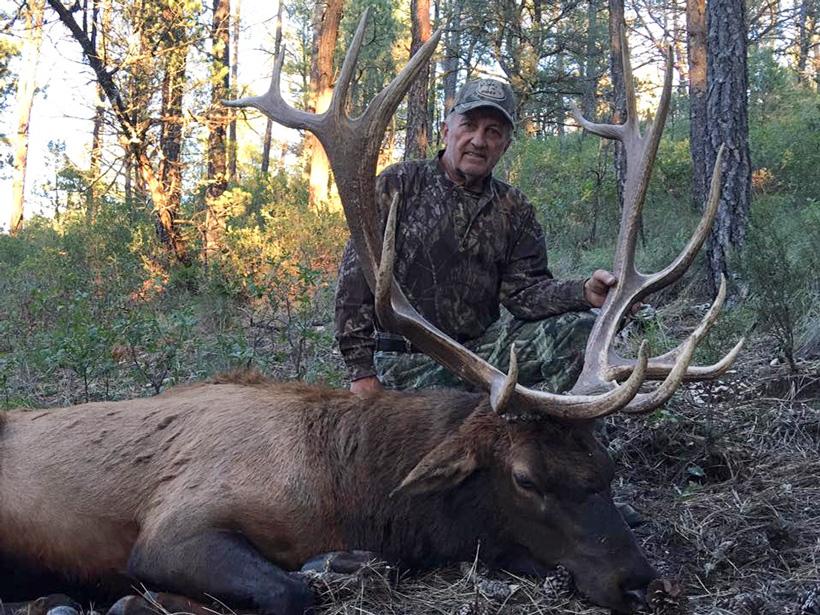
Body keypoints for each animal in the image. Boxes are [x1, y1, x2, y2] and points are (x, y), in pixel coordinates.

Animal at [0, 11, 742, 615]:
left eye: (606, 470)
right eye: (527, 478)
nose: (640, 583)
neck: (347, 493)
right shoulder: (175, 524)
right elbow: (287, 589)